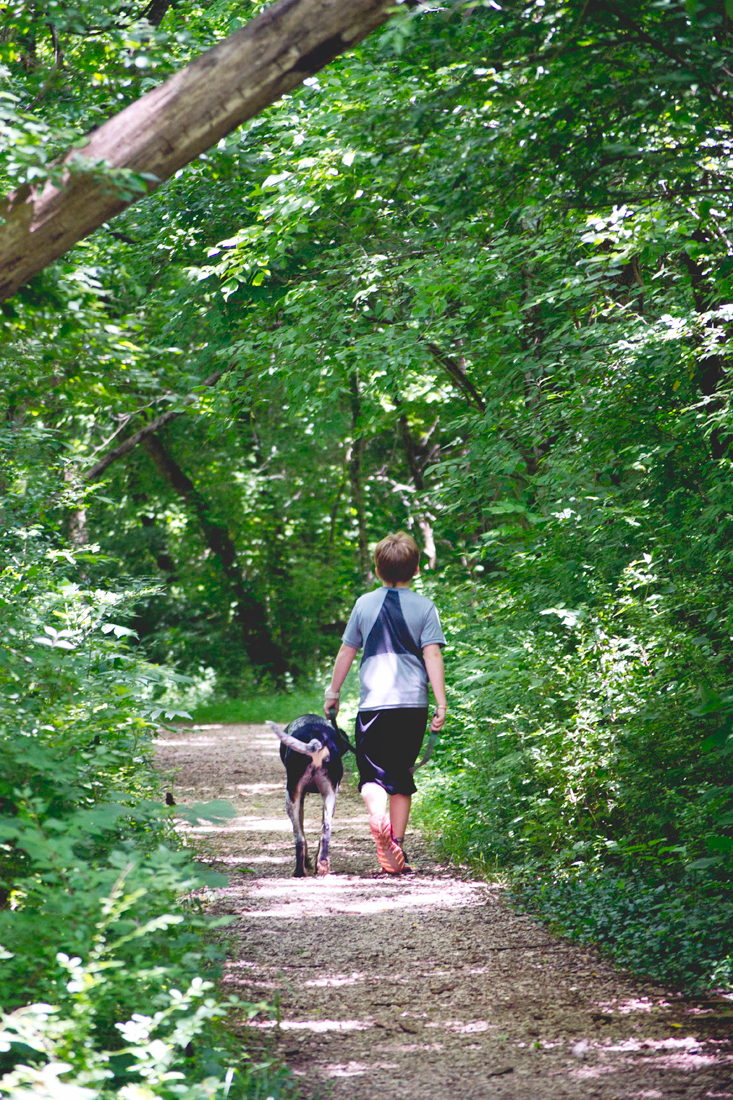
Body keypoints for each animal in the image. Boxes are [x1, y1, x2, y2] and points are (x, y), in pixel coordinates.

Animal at [267, 712, 352, 875]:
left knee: (299, 839)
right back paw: (323, 866)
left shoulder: (299, 798)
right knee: (325, 833)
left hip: (291, 798)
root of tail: (316, 737)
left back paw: (299, 871)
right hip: (330, 796)